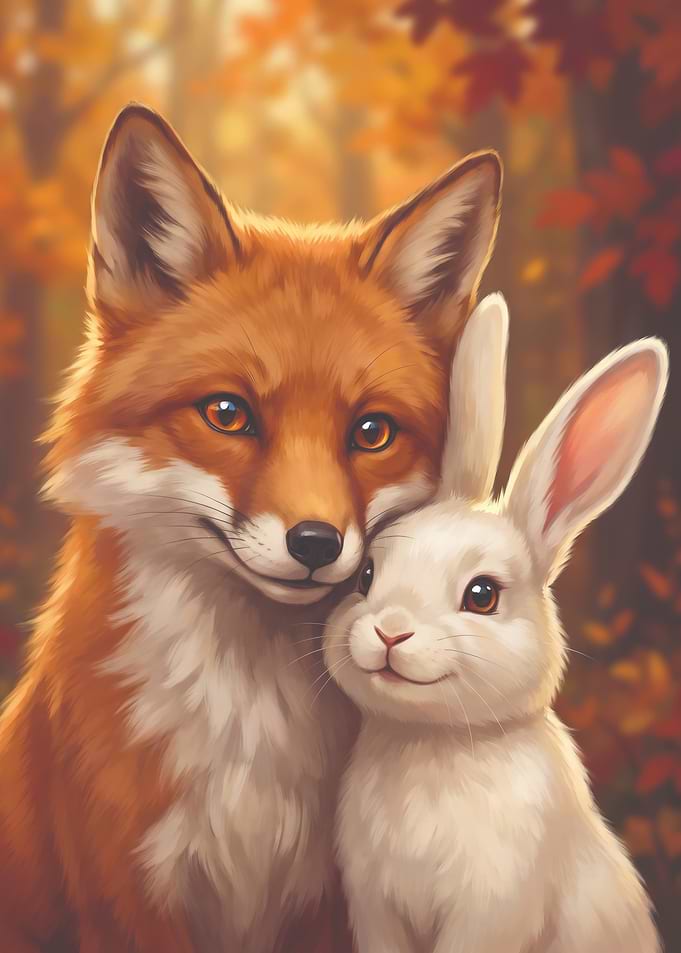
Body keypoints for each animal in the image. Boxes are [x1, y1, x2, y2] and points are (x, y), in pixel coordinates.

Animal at [0, 103, 501, 953]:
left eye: (371, 431)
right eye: (228, 414)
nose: (316, 543)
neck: (250, 729)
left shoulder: (328, 901)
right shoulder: (127, 898)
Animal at [323, 293, 666, 953]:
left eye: (482, 596)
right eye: (366, 577)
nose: (389, 631)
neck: (434, 744)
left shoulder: (494, 910)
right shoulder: (375, 908)